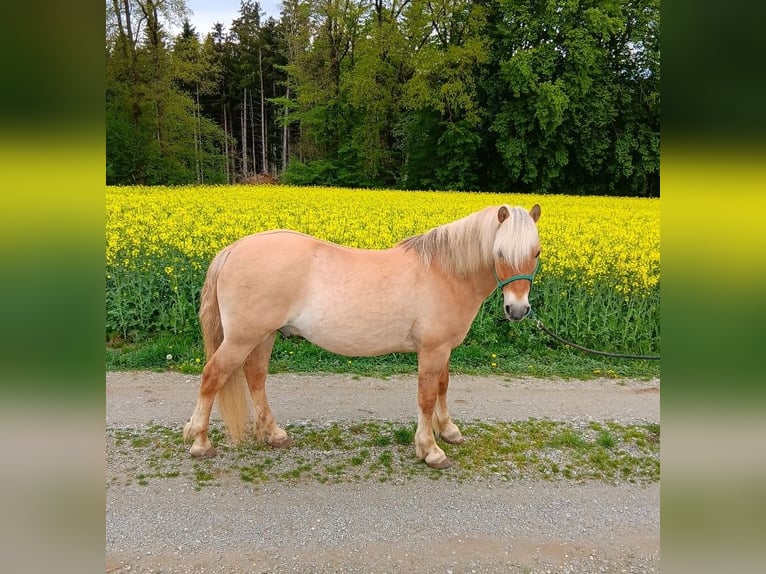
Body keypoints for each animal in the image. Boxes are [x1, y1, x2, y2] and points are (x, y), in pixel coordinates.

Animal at [183, 204, 541, 469]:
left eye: (537, 253)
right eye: (500, 253)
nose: (517, 309)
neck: (445, 272)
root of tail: (233, 249)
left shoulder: (443, 350)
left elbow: (442, 386)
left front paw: (449, 431)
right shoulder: (432, 350)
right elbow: (426, 397)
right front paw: (430, 450)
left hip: (264, 336)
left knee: (256, 377)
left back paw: (274, 434)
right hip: (242, 339)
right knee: (212, 377)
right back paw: (200, 443)